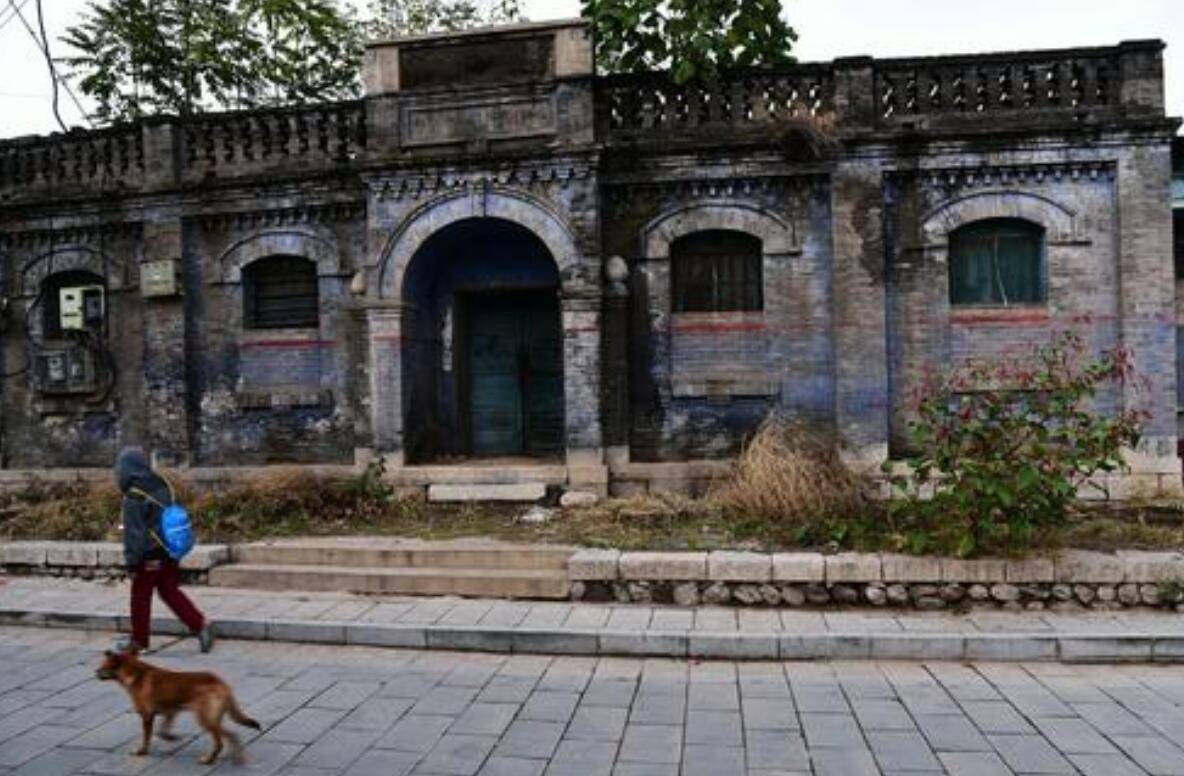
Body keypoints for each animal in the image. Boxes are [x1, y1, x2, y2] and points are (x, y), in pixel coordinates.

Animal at [95, 649, 260, 762]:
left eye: (102, 667)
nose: (95, 672)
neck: (136, 673)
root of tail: (220, 682)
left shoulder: (147, 716)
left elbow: (147, 737)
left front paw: (142, 751)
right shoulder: (170, 712)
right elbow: (162, 731)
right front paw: (171, 737)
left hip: (205, 719)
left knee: (221, 741)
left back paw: (209, 759)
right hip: (213, 718)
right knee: (232, 735)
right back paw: (237, 758)